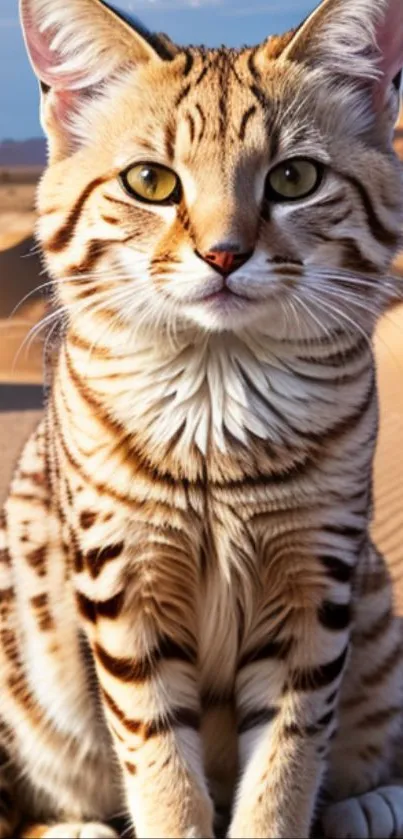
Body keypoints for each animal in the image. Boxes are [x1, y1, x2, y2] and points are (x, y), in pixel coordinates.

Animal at [2, 0, 403, 836]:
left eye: (293, 177)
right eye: (150, 181)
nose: (224, 254)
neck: (218, 403)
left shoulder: (315, 580)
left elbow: (286, 764)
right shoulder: (124, 582)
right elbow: (160, 767)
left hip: (377, 602)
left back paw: (370, 799)